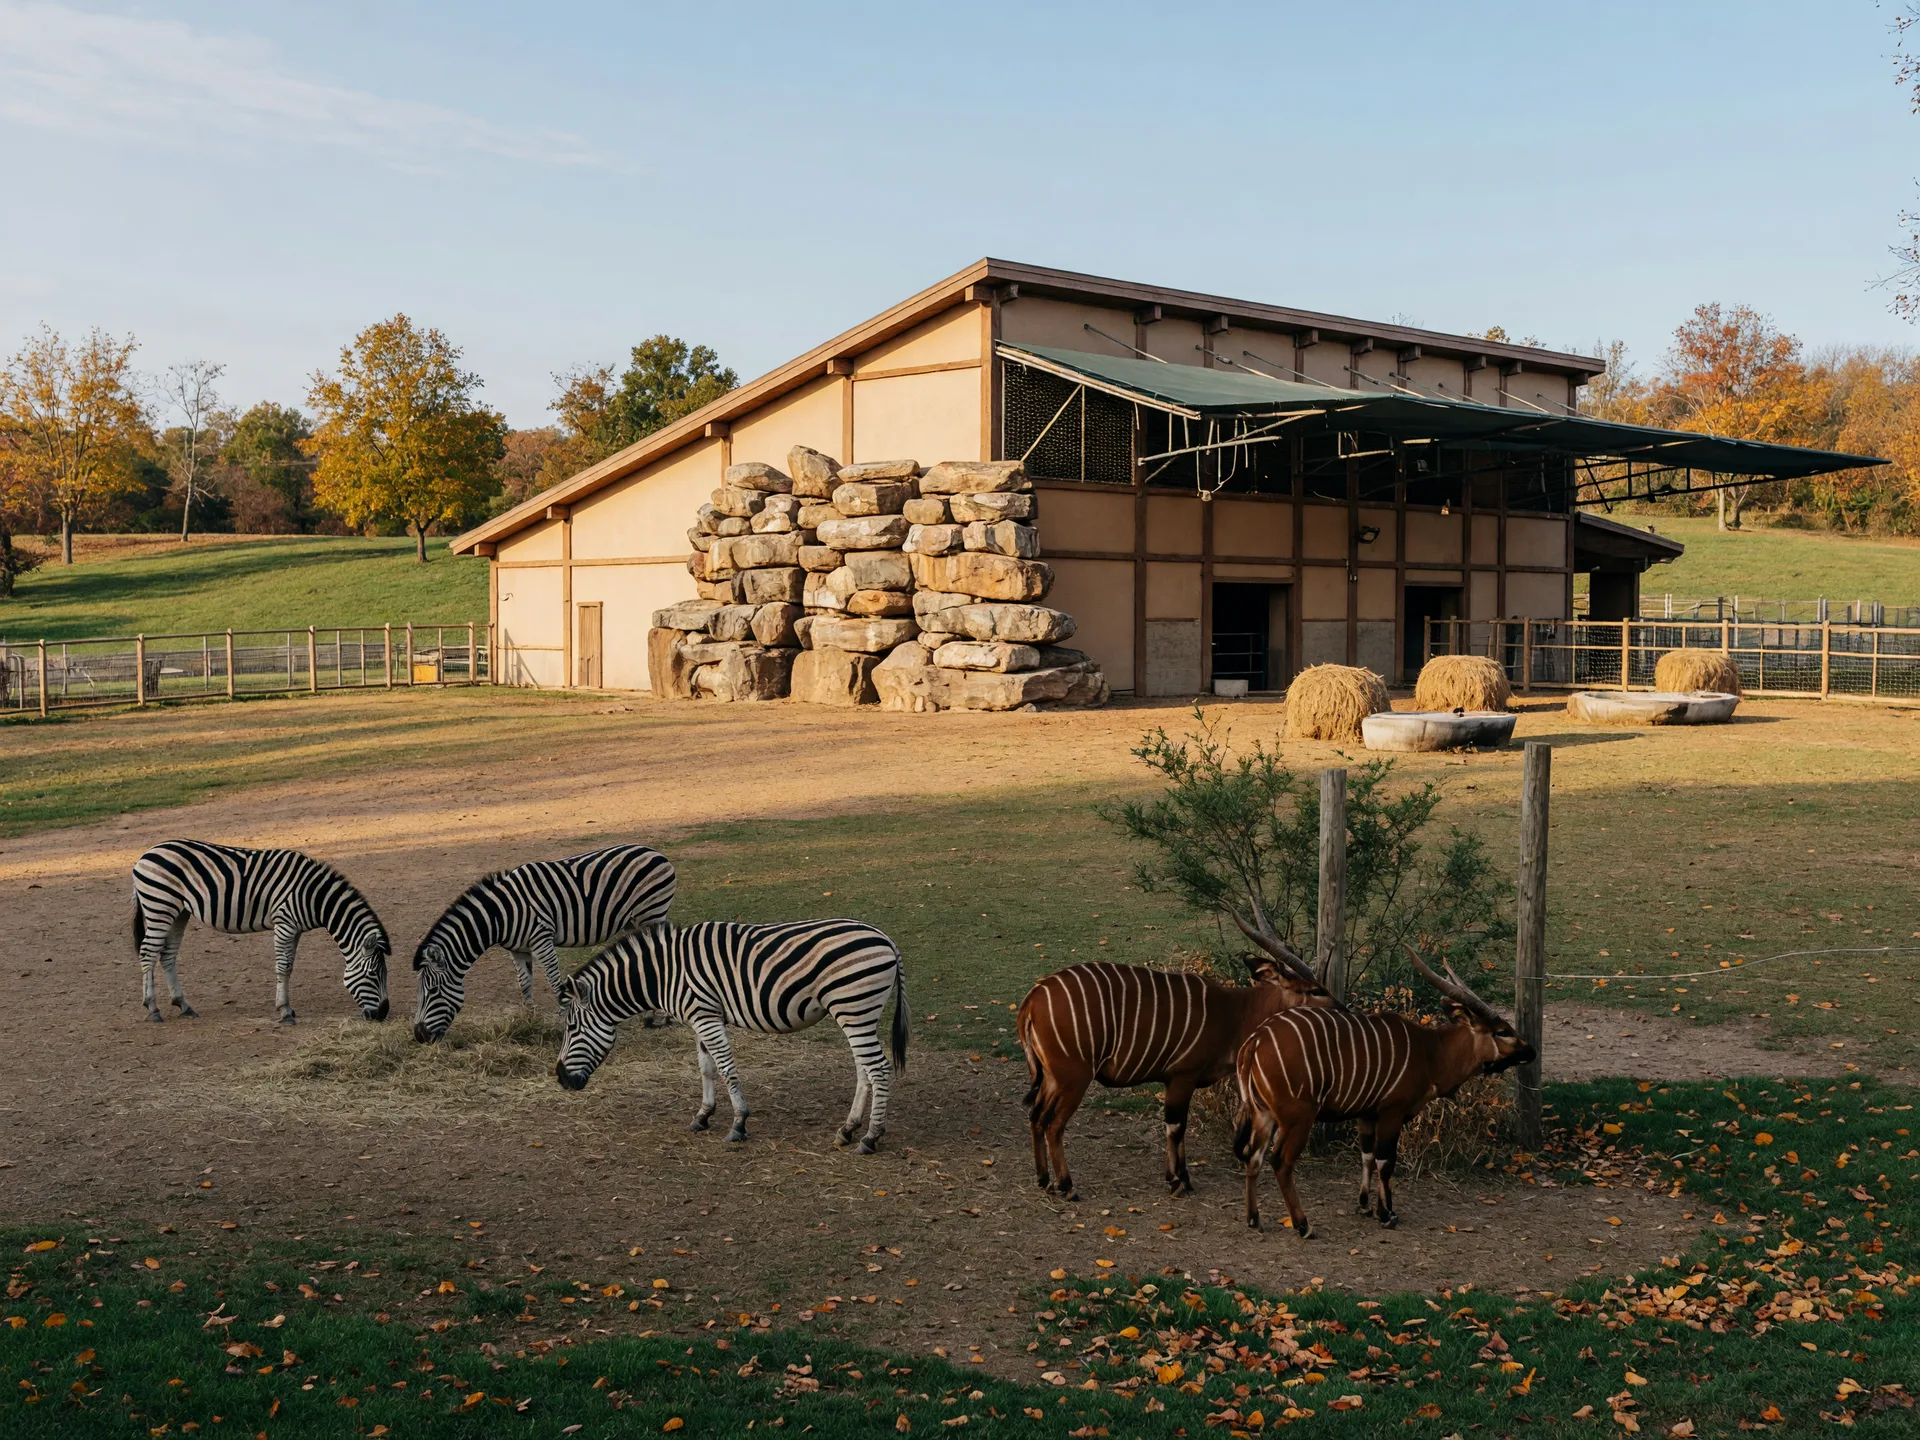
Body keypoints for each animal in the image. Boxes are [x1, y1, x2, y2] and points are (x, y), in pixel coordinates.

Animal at [131, 840, 391, 1024]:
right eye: (373, 975)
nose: (383, 1014)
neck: (313, 896)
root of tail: (145, 854)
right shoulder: (284, 923)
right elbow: (283, 967)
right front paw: (285, 1011)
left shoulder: (295, 929)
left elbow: (290, 966)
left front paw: (286, 1007)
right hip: (160, 906)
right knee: (148, 953)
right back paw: (153, 1008)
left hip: (179, 912)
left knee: (167, 955)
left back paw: (183, 1005)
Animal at [411, 844, 676, 1043]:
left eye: (432, 991)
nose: (419, 1036)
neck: (501, 914)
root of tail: (654, 852)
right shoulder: (518, 950)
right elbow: (524, 983)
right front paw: (528, 1021)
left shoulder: (542, 939)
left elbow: (553, 980)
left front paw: (563, 1020)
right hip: (633, 921)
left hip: (651, 912)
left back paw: (660, 1017)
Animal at [554, 919, 908, 1153]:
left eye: (571, 1030)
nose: (561, 1079)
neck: (664, 973)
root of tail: (885, 938)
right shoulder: (701, 1018)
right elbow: (706, 1068)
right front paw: (703, 1116)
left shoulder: (706, 1016)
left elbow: (726, 1069)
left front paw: (738, 1123)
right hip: (856, 1014)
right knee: (864, 1070)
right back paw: (848, 1129)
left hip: (855, 1008)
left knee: (878, 1069)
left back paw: (871, 1137)